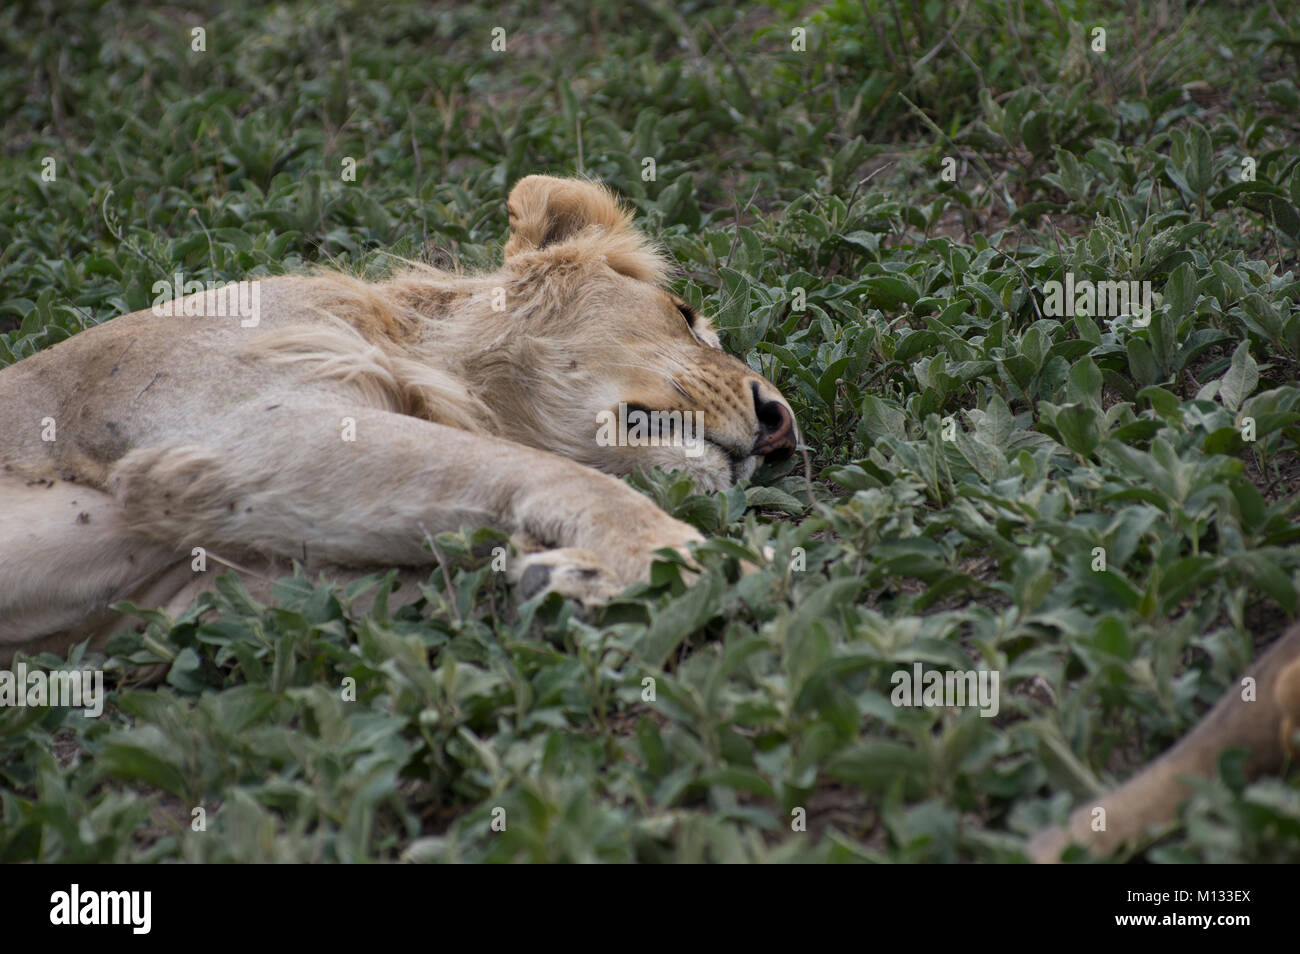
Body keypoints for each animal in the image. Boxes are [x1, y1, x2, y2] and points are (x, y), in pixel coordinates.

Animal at [0, 174, 795, 665]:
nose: (783, 426)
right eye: (686, 316)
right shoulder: (227, 430)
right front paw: (694, 560)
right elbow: (562, 474)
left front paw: (565, 579)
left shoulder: (206, 587)